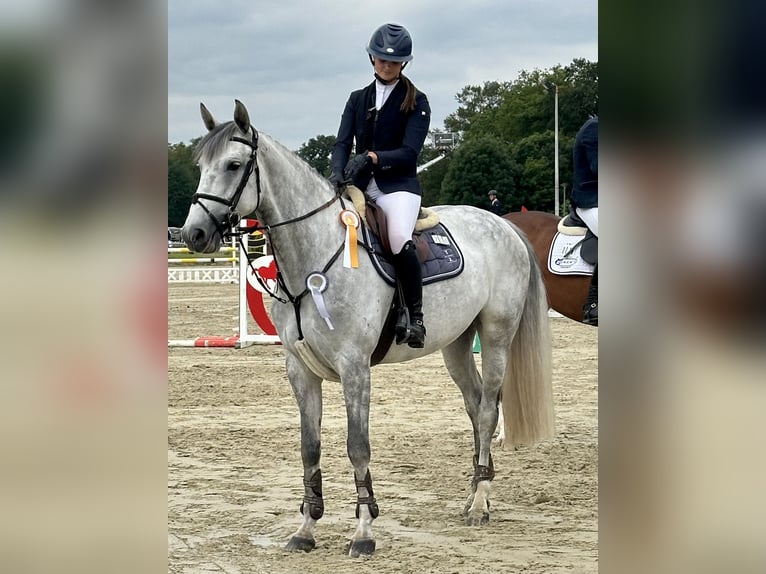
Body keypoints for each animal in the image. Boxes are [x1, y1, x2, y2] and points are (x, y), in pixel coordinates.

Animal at [182, 100, 554, 557]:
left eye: (234, 165)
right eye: (201, 165)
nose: (194, 233)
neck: (317, 255)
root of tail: (503, 224)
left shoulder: (354, 368)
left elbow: (357, 446)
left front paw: (363, 531)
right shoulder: (300, 371)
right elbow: (309, 447)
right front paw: (306, 528)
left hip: (497, 333)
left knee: (486, 410)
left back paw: (480, 504)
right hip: (457, 343)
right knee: (475, 402)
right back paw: (473, 491)